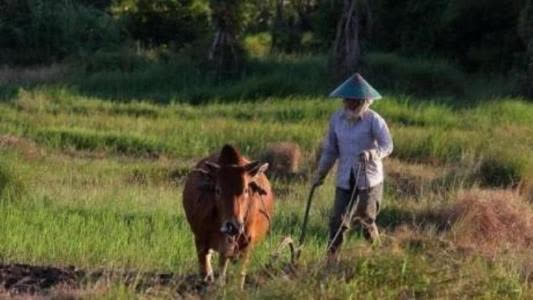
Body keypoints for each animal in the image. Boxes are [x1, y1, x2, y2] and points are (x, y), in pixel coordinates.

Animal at [183, 145, 274, 288]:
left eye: (246, 190)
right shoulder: (200, 239)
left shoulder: (247, 243)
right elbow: (206, 268)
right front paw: (209, 282)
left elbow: (239, 274)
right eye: (218, 190)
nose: (232, 226)